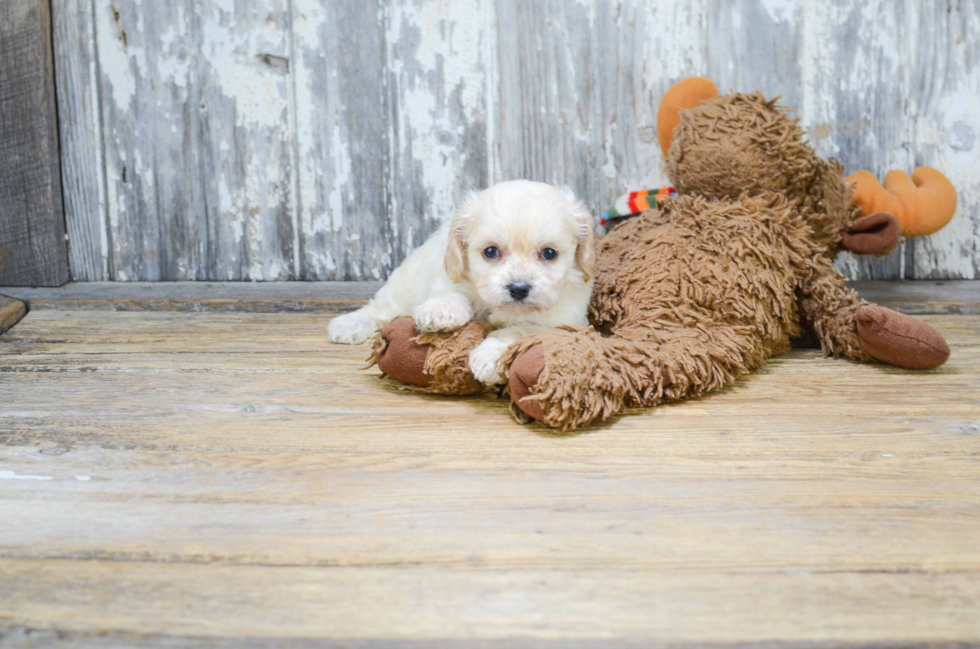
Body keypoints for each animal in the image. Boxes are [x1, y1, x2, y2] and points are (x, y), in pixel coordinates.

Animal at [328, 180, 596, 382]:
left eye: (549, 253)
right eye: (490, 252)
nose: (518, 289)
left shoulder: (564, 320)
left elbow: (522, 329)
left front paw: (489, 356)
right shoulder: (451, 274)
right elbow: (451, 292)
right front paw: (441, 311)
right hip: (402, 286)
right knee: (378, 310)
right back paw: (349, 325)